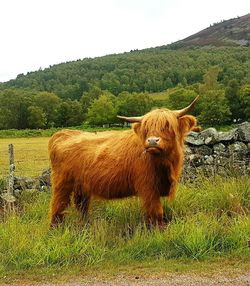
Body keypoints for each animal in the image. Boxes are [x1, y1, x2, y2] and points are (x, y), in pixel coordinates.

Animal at [48, 97, 199, 227]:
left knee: (81, 206)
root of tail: (63, 133)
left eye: (168, 125)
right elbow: (157, 213)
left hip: (82, 185)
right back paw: (55, 229)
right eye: (146, 128)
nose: (152, 141)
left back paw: (86, 225)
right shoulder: (148, 187)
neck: (165, 164)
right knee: (58, 206)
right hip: (62, 183)